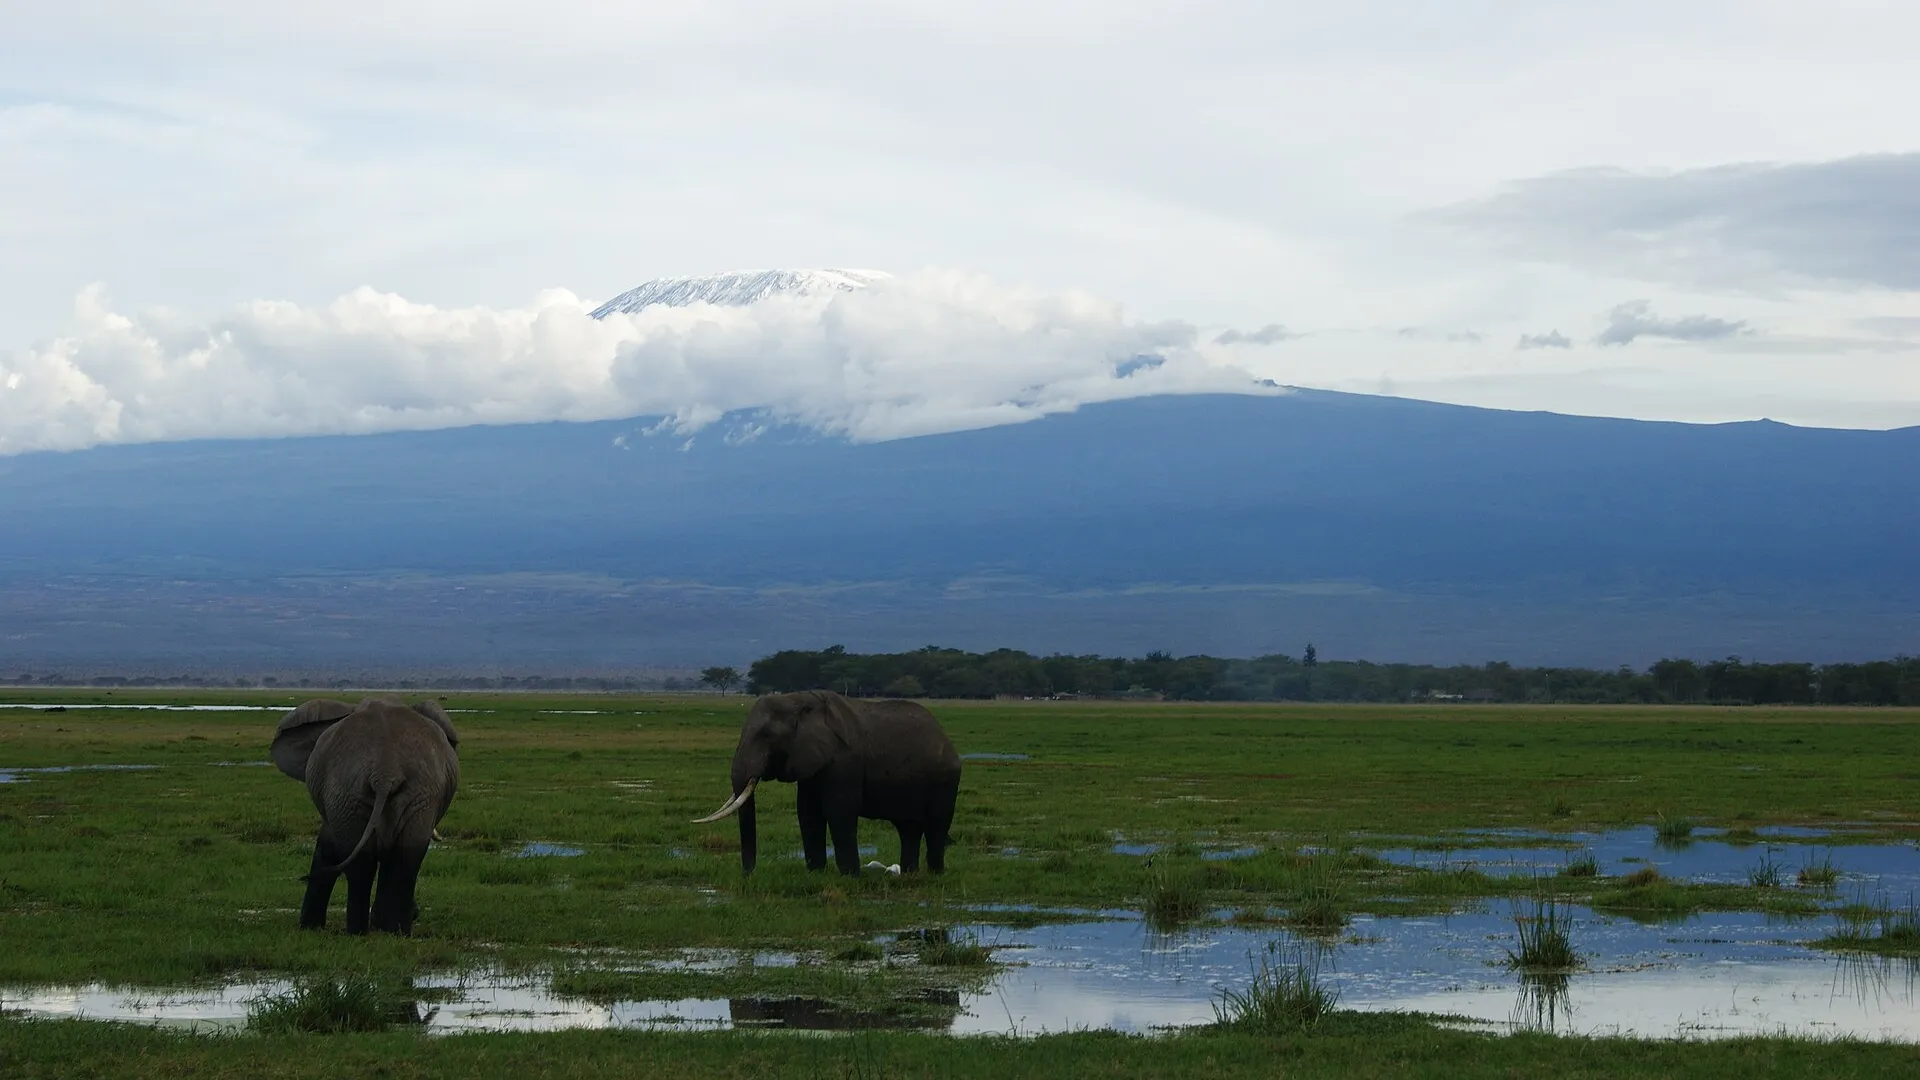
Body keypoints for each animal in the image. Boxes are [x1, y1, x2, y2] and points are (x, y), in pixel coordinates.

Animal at [270, 696, 461, 935]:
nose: (417, 913)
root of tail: (385, 771)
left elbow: (327, 848)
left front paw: (310, 927)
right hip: (382, 794)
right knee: (401, 858)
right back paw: (391, 933)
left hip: (365, 794)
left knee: (372, 862)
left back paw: (365, 932)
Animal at [694, 690, 961, 876]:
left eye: (767, 735)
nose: (748, 875)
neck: (799, 700)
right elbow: (808, 813)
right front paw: (816, 874)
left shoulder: (845, 760)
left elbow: (839, 812)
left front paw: (850, 877)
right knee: (909, 829)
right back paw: (909, 875)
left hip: (946, 780)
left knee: (936, 826)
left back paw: (935, 875)